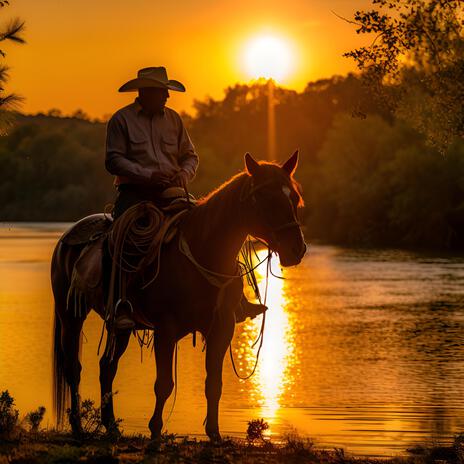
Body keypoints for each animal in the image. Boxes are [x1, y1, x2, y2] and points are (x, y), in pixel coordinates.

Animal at [51, 150, 304, 440]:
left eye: (294, 198)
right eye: (265, 197)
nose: (297, 249)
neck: (203, 251)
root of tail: (68, 236)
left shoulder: (221, 328)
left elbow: (213, 383)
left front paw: (214, 434)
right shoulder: (166, 329)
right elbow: (163, 384)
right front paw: (155, 432)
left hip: (121, 325)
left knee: (107, 367)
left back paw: (112, 426)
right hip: (70, 315)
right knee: (74, 368)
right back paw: (78, 427)